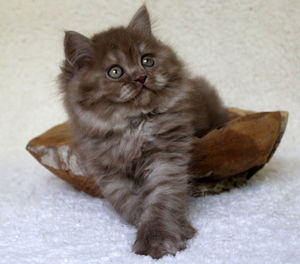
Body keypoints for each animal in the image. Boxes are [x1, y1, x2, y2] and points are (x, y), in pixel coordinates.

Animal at [58, 5, 227, 258]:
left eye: (147, 60)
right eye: (115, 72)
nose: (141, 77)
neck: (133, 127)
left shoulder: (166, 158)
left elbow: (160, 199)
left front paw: (159, 238)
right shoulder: (108, 172)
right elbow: (131, 204)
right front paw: (178, 228)